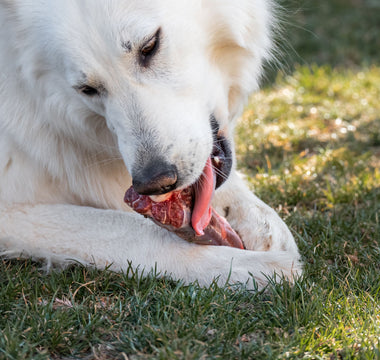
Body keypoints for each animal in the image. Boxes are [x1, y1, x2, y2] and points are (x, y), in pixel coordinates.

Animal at [0, 0, 302, 290]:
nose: (155, 183)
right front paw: (246, 267)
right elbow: (132, 230)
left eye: (150, 46)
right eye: (87, 89)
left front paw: (262, 223)